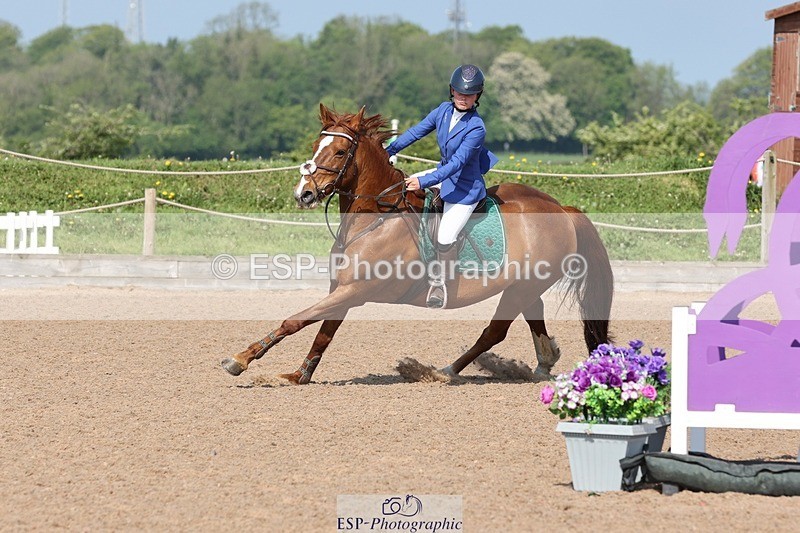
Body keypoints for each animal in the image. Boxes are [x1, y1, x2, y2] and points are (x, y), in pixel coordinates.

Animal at [221, 104, 614, 384]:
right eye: (316, 146)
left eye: (339, 153)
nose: (303, 194)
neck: (375, 217)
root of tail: (561, 208)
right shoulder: (343, 289)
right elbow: (323, 332)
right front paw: (300, 374)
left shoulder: (355, 290)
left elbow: (296, 320)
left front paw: (240, 360)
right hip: (526, 285)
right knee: (534, 319)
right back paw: (543, 364)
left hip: (521, 287)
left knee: (494, 331)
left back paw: (444, 372)